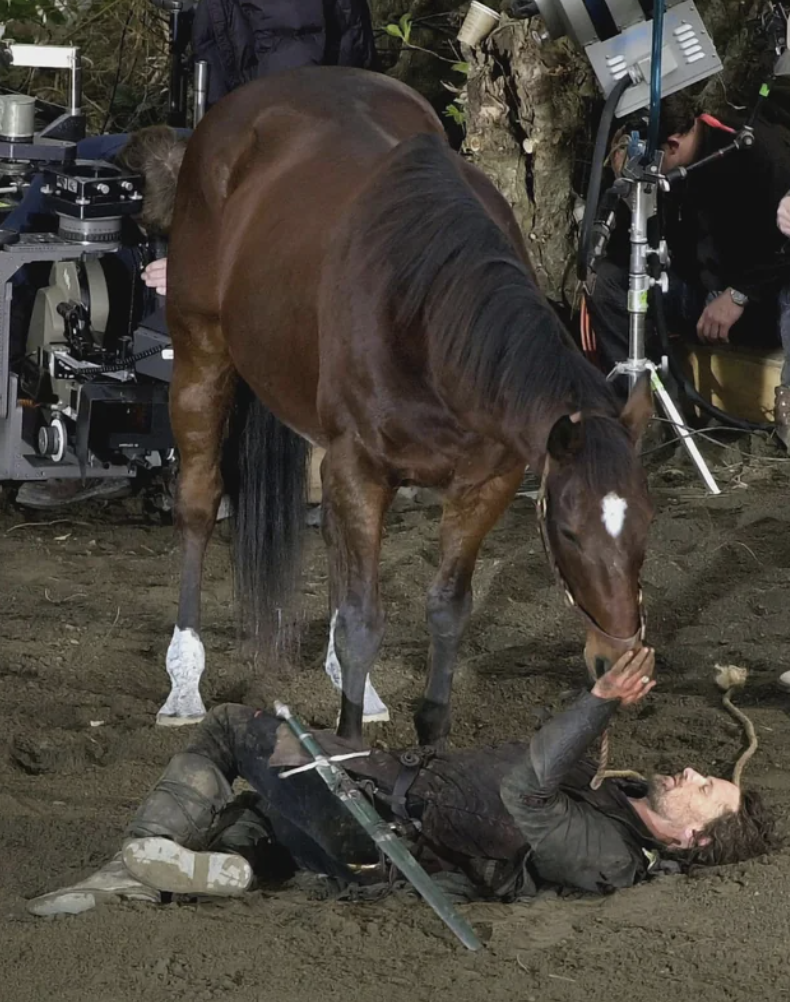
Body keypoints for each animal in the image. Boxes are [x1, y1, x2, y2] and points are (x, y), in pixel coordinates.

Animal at [140, 64, 653, 745]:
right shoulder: (361, 467)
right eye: (567, 531)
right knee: (198, 502)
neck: (425, 309)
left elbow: (449, 609)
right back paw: (184, 682)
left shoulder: (485, 483)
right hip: (200, 355)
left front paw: (429, 731)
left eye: (646, 524)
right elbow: (363, 622)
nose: (620, 666)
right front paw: (350, 744)